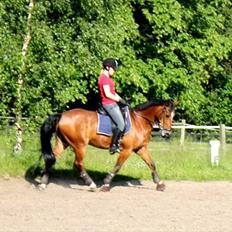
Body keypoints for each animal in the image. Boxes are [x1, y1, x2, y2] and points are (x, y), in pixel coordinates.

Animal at [39, 99, 175, 191]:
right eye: (167, 115)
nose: (167, 134)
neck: (140, 120)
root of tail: (62, 115)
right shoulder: (127, 150)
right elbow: (118, 166)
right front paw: (106, 184)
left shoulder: (140, 148)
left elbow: (151, 164)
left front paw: (160, 184)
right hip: (79, 145)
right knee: (78, 163)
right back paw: (91, 184)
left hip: (63, 142)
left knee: (52, 158)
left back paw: (43, 183)